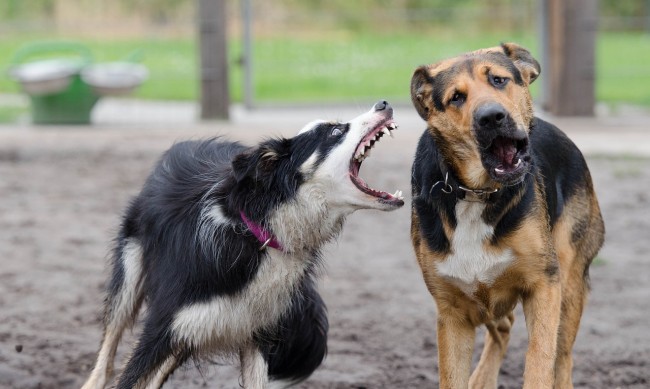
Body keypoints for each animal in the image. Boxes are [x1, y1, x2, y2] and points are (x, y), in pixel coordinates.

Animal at [82, 101, 400, 388]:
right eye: (335, 131)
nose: (384, 103)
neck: (261, 231)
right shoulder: (164, 325)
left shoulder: (253, 330)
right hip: (130, 274)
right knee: (107, 356)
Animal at [410, 43, 604, 388]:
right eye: (456, 97)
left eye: (499, 80)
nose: (491, 117)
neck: (475, 193)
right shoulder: (452, 312)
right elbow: (451, 376)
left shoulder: (544, 285)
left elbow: (541, 360)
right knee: (502, 328)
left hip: (569, 282)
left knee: (563, 357)